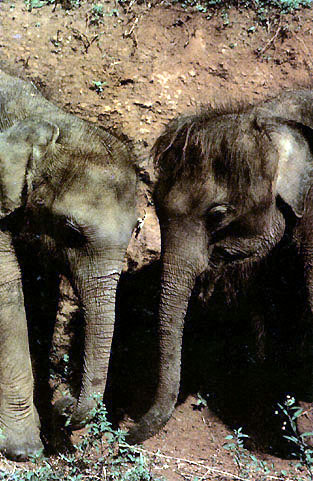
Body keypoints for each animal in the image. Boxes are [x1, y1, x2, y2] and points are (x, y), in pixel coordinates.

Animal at [0, 70, 138, 458]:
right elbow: (8, 295)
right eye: (72, 231)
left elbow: (40, 298)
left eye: (136, 229)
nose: (65, 404)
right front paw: (25, 451)